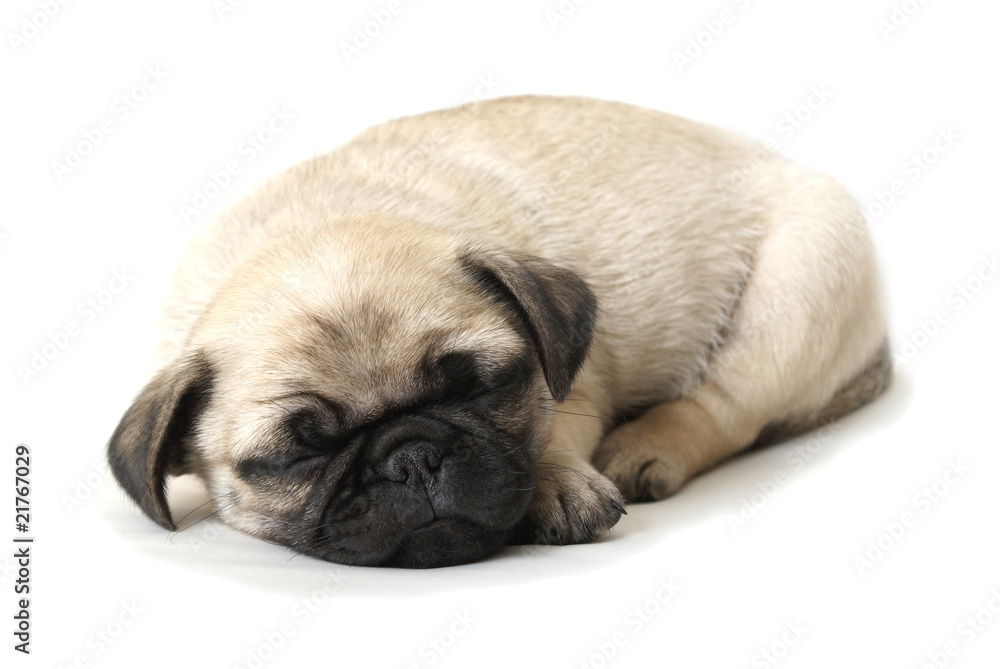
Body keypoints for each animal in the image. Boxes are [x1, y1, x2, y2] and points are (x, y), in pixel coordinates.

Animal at [107, 95, 890, 568]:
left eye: (485, 386)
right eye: (300, 452)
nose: (412, 456)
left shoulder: (575, 382)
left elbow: (558, 422)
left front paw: (556, 479)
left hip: (801, 280)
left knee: (730, 403)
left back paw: (649, 445)